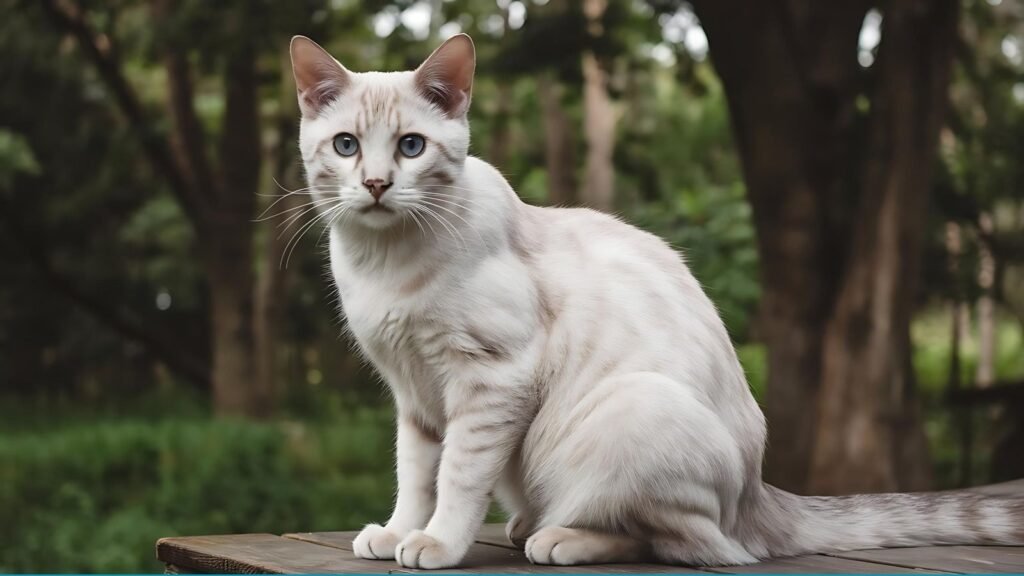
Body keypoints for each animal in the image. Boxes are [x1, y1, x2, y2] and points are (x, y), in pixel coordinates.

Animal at [290, 33, 1024, 565]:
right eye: (347, 146)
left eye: (411, 146)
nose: (377, 184)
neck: (383, 266)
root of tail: (759, 492)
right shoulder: (414, 395)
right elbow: (415, 477)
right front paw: (395, 532)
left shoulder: (488, 379)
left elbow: (457, 479)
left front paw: (437, 543)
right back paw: (528, 523)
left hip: (629, 412)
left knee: (686, 542)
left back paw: (558, 537)